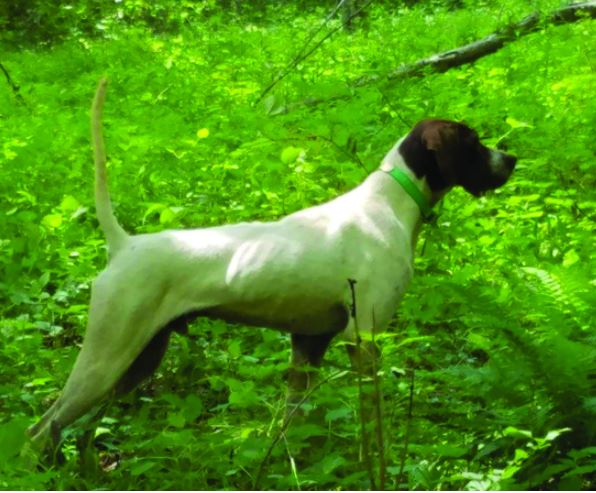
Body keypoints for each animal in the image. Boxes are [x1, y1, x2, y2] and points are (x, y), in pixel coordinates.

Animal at [25, 80, 516, 450]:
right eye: (473, 141)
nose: (511, 158)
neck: (391, 202)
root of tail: (123, 244)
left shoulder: (309, 343)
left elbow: (293, 422)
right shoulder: (364, 338)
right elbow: (370, 424)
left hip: (137, 362)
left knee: (78, 433)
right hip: (105, 357)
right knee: (40, 430)